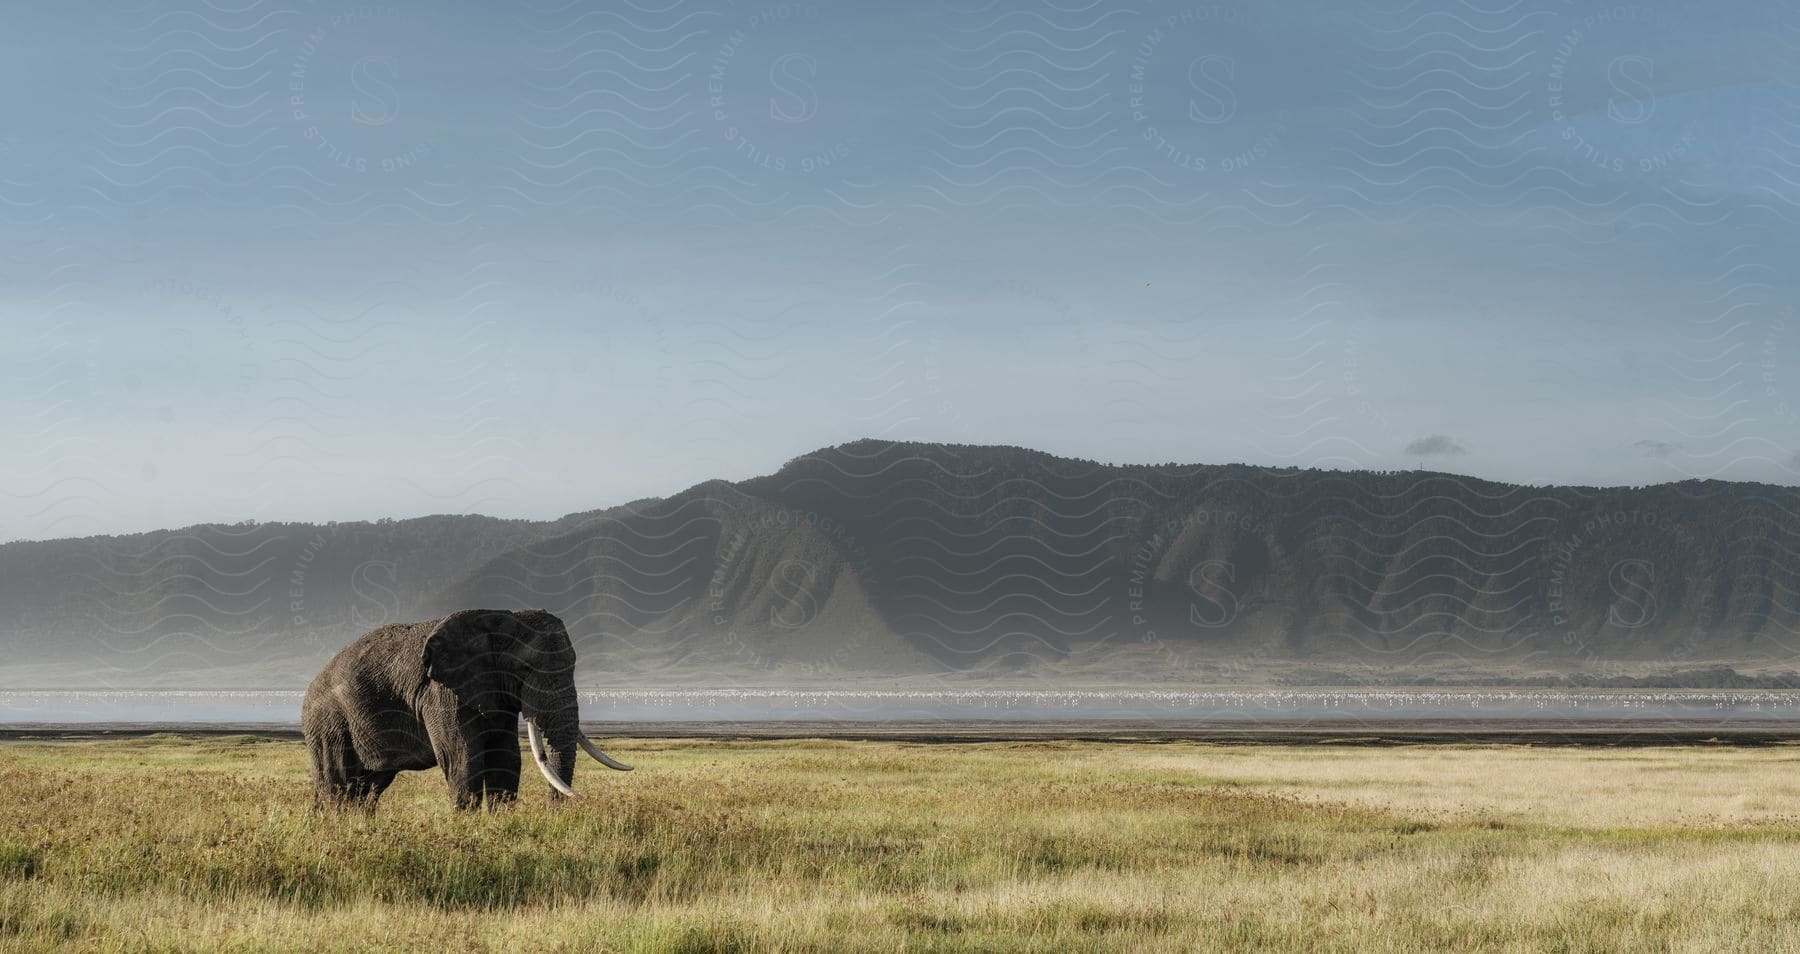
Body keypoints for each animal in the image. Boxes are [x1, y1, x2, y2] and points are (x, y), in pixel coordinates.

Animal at [298, 604, 630, 806]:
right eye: (524, 669)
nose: (557, 809)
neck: (499, 619)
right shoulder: (442, 692)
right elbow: (463, 757)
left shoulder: (492, 690)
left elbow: (506, 758)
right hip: (329, 722)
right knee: (338, 787)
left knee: (368, 788)